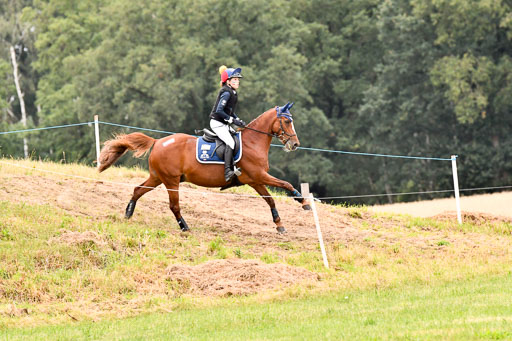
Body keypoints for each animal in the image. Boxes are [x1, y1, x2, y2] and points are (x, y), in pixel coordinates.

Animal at [97, 102, 310, 232]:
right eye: (287, 121)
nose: (295, 144)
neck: (252, 142)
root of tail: (158, 142)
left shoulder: (255, 180)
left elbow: (270, 200)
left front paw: (279, 224)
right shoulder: (258, 176)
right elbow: (285, 184)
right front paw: (303, 201)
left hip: (157, 177)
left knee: (138, 190)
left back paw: (128, 213)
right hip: (171, 180)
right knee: (174, 205)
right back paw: (184, 227)